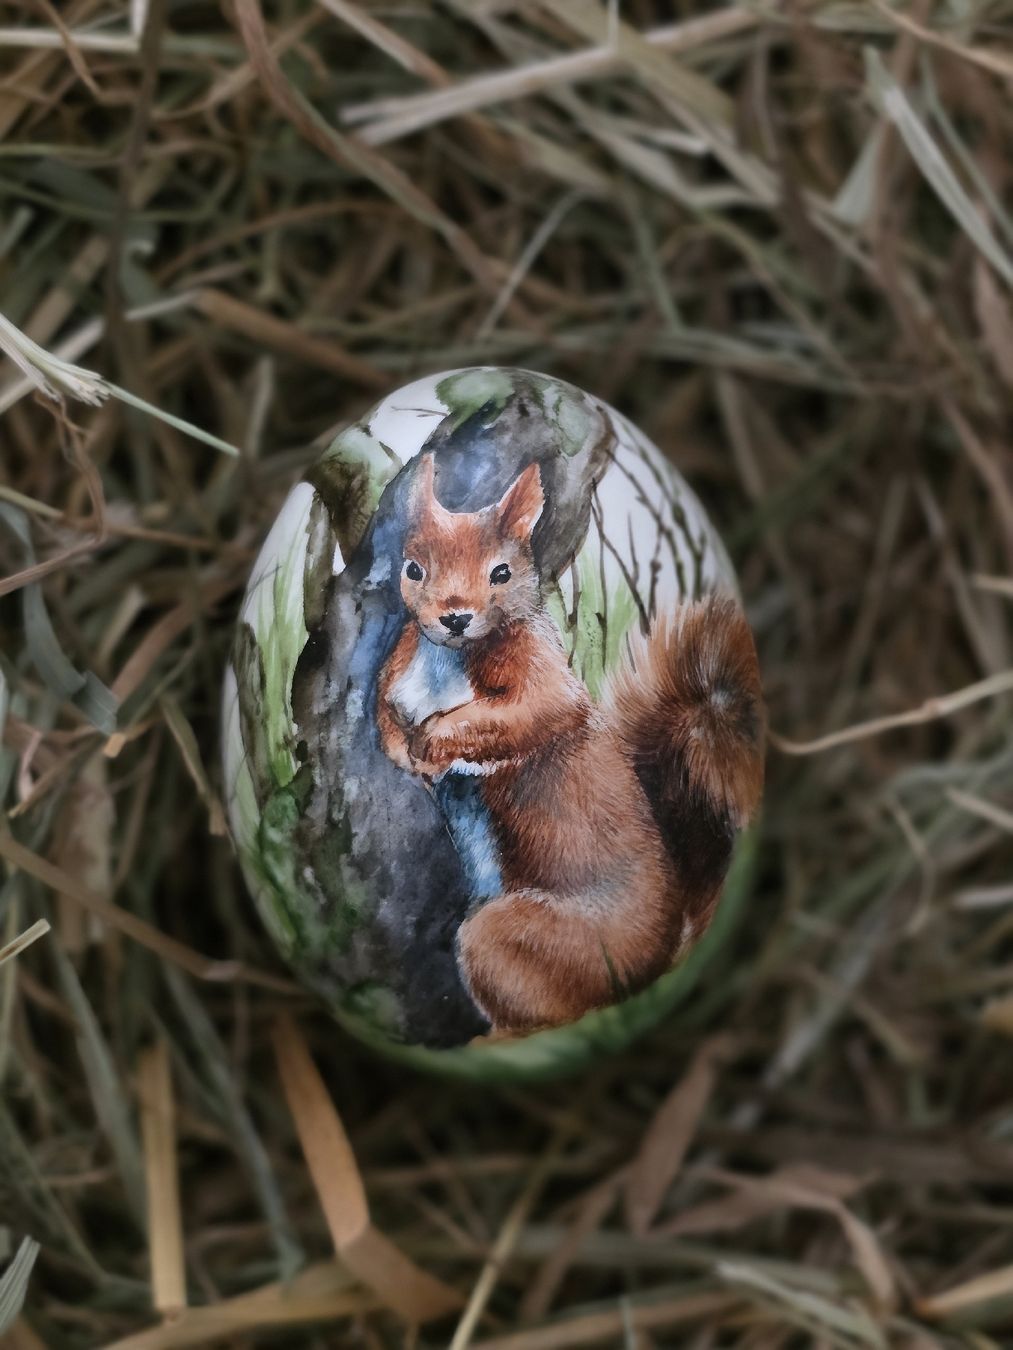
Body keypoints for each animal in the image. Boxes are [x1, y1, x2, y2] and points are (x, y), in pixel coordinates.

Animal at [376, 452, 764, 1033]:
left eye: (501, 572)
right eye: (413, 569)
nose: (455, 616)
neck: (446, 657)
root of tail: (659, 958)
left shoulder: (544, 679)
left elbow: (530, 714)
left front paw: (432, 744)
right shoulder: (397, 667)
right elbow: (384, 704)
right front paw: (401, 746)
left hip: (516, 940)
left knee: (548, 1017)